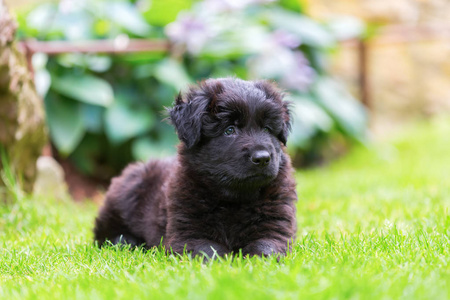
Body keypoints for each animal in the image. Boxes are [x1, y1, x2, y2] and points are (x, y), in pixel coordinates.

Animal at [94, 78, 298, 258]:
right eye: (229, 130)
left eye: (267, 129)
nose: (263, 158)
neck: (235, 199)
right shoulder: (187, 233)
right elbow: (210, 251)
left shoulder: (275, 224)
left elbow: (266, 247)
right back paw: (126, 241)